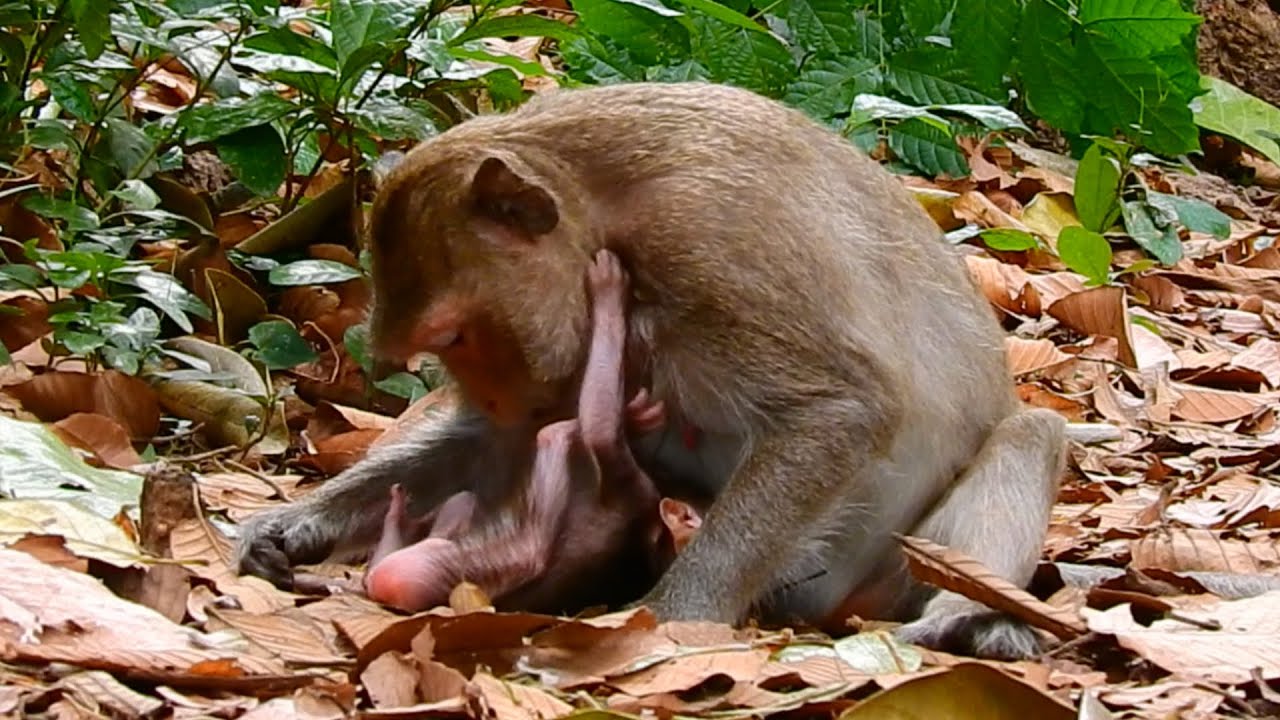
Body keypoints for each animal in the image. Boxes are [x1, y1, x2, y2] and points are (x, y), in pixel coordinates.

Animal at [236, 81, 1067, 660]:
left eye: (455, 336)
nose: (493, 393)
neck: (604, 210)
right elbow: (496, 447)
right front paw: (287, 527)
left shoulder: (707, 245)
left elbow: (839, 410)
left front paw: (671, 618)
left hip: (884, 572)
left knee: (1032, 432)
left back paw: (966, 617)